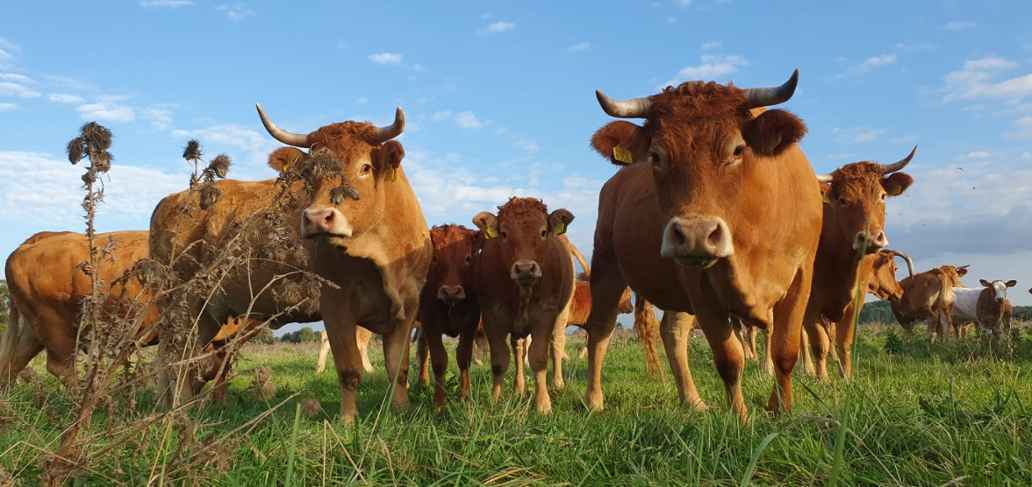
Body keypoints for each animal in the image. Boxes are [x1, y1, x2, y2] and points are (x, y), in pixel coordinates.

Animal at [256, 105, 431, 424]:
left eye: (365, 167)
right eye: (308, 173)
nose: (316, 218)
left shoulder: (409, 306)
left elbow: (398, 367)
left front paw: (401, 410)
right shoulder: (335, 304)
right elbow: (349, 369)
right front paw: (348, 420)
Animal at [473, 197, 576, 414]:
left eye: (543, 232)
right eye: (504, 233)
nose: (525, 268)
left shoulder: (544, 316)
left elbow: (538, 358)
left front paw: (543, 404)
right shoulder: (492, 317)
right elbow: (499, 361)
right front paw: (495, 400)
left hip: (561, 315)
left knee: (556, 344)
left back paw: (557, 384)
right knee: (518, 350)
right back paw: (519, 388)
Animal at [583, 70, 822, 420]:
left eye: (737, 149)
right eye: (656, 156)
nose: (695, 233)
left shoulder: (802, 274)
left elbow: (785, 351)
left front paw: (782, 410)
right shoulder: (700, 285)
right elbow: (729, 359)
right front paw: (741, 419)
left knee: (672, 332)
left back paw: (692, 400)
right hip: (607, 264)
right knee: (600, 329)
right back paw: (594, 400)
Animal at [803, 148, 916, 380]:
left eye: (882, 196)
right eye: (843, 200)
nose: (870, 238)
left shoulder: (856, 301)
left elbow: (843, 342)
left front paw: (846, 377)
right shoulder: (811, 304)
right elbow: (819, 343)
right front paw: (822, 379)